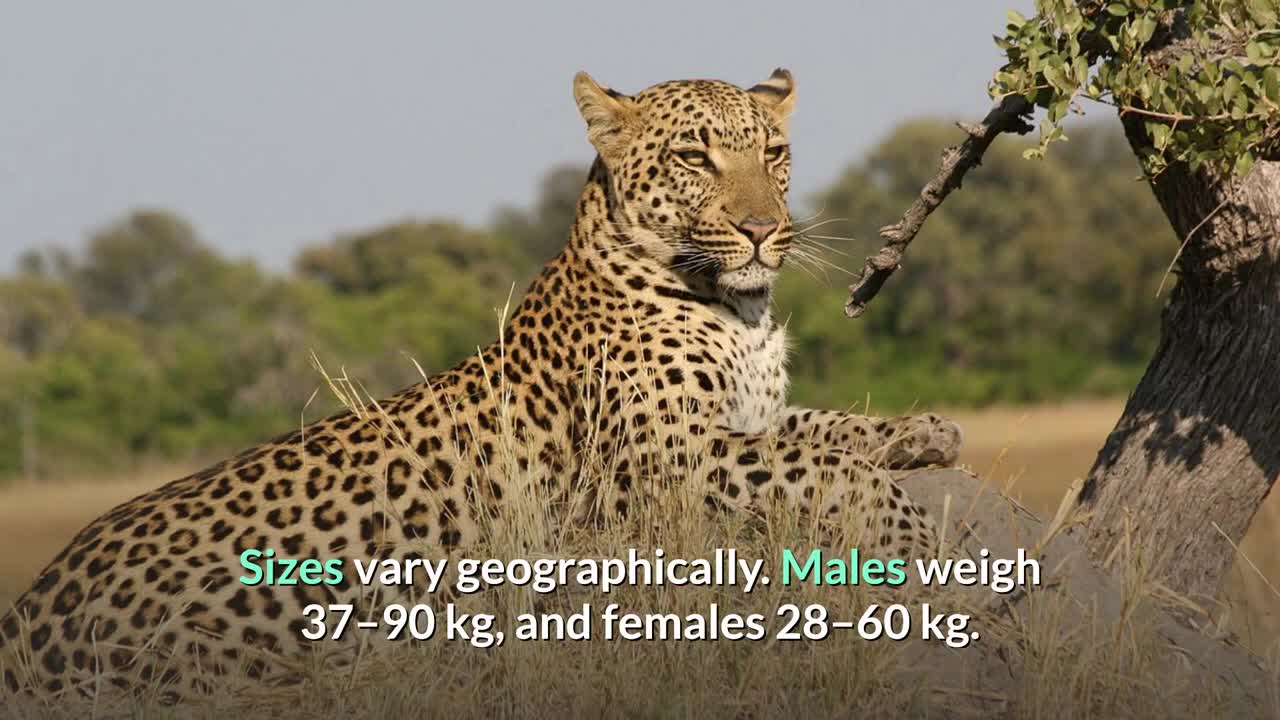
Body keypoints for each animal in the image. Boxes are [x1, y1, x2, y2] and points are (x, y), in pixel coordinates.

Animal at [0, 68, 963, 703]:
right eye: (695, 156)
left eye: (774, 152)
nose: (766, 229)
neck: (739, 310)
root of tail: (30, 607)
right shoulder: (647, 462)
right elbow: (811, 463)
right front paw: (910, 527)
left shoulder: (745, 416)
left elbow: (828, 428)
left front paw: (925, 432)